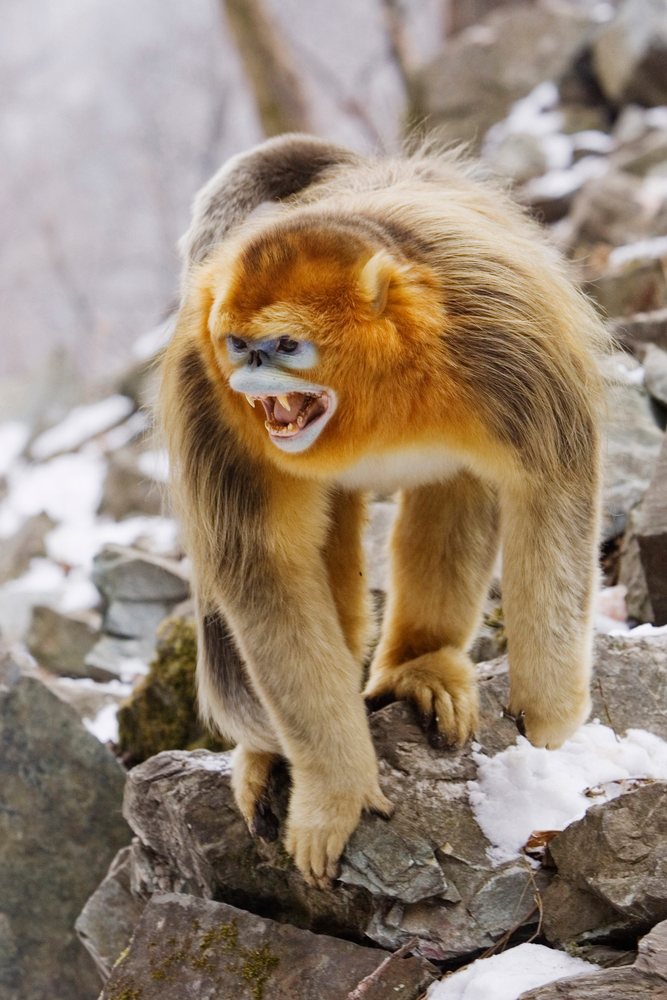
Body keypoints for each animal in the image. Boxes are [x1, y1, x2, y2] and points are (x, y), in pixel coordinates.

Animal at [159, 133, 608, 889]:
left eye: (285, 345)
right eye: (238, 345)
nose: (248, 372)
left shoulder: (505, 338)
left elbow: (553, 487)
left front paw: (549, 722)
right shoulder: (206, 392)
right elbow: (263, 571)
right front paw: (333, 794)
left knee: (459, 485)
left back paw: (419, 668)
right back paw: (271, 748)